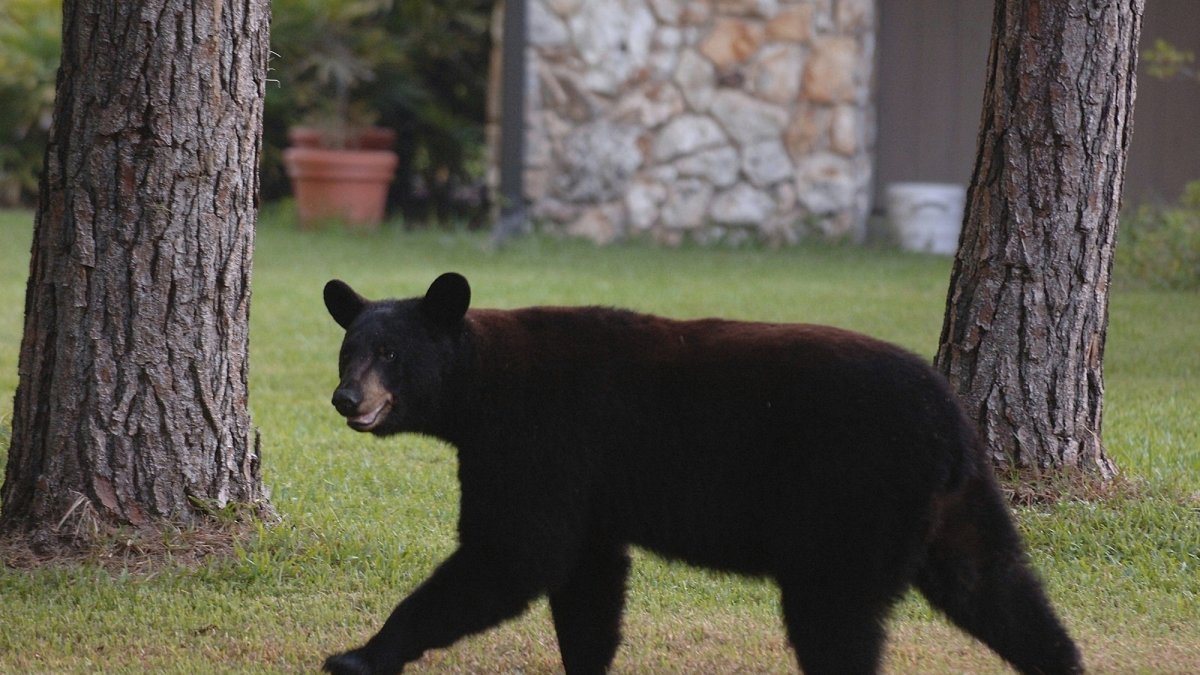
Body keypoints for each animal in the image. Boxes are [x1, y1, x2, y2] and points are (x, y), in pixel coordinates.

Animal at [321, 272, 1082, 675]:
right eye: (347, 350)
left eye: (390, 353)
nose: (347, 399)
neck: (481, 387)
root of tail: (949, 421)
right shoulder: (589, 487)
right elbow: (589, 581)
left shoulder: (539, 443)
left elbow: (513, 553)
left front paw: (360, 654)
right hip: (957, 505)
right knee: (997, 585)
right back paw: (1065, 661)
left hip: (853, 499)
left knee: (837, 617)